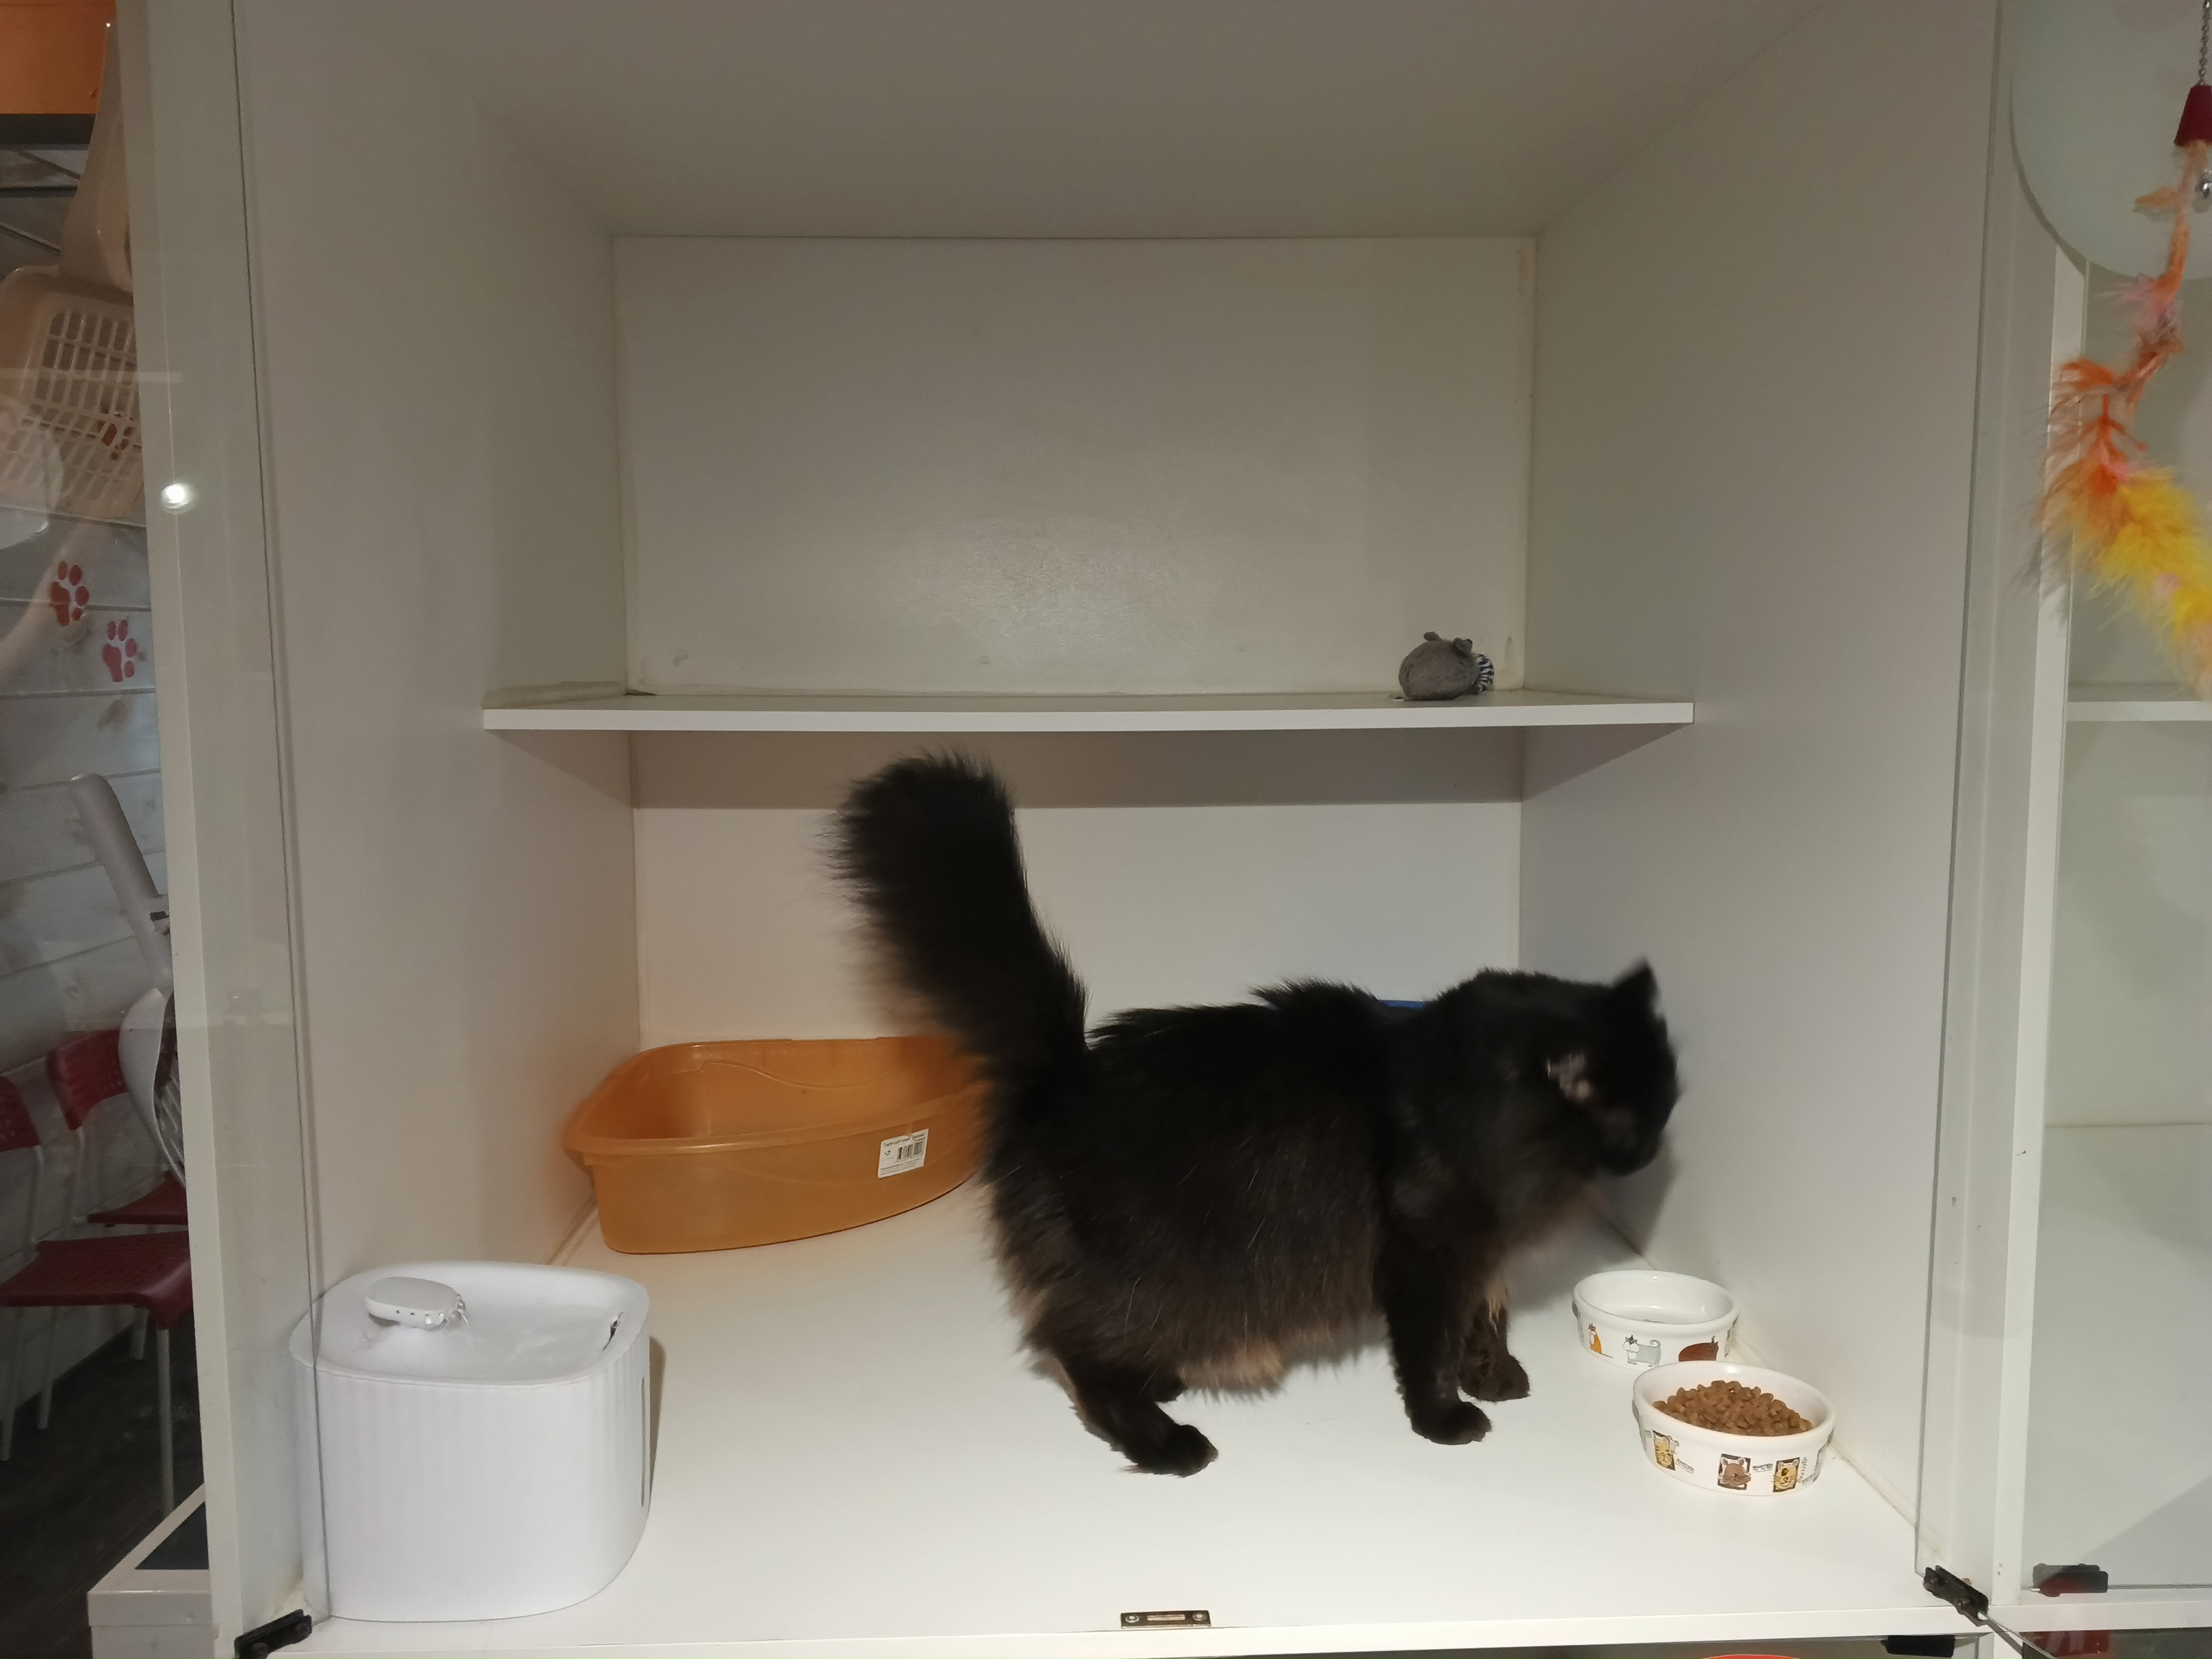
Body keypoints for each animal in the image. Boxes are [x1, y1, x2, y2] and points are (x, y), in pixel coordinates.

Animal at [833, 753, 1679, 1475]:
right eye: (1630, 1121)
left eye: (1669, 1105)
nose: (1650, 1155)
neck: (1459, 1103)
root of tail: (1062, 1074)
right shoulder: (1426, 1254)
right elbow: (1431, 1349)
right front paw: (1447, 1420)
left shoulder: (1482, 1254)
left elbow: (1486, 1320)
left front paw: (1498, 1375)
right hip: (1160, 1280)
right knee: (1073, 1353)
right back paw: (1168, 1443)